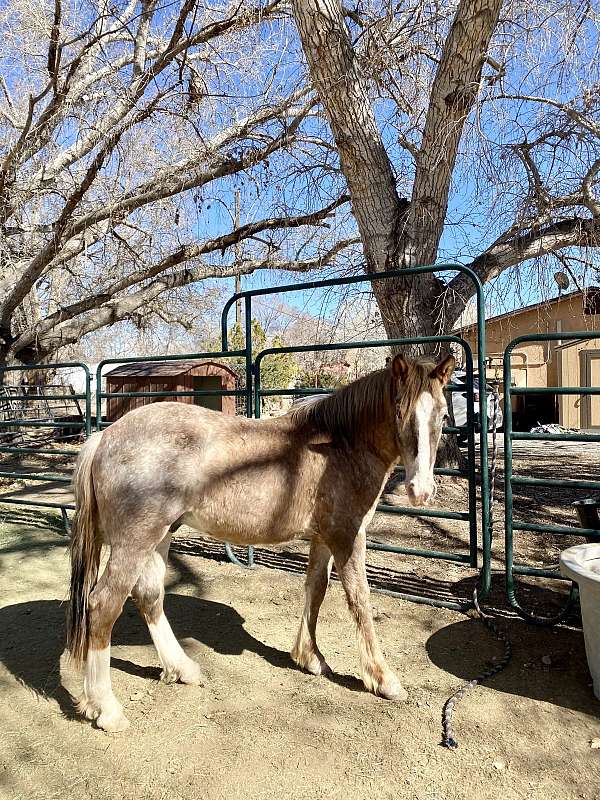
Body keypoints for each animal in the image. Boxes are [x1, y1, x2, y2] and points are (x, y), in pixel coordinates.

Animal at [65, 354, 452, 732]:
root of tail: (105, 436)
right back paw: (107, 709)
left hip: (160, 535)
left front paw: (309, 658)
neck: (339, 446)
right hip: (135, 541)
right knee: (102, 605)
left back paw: (182, 669)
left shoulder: (323, 538)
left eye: (442, 413)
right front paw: (383, 679)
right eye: (399, 410)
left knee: (149, 596)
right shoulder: (347, 537)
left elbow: (316, 589)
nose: (421, 490)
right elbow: (359, 601)